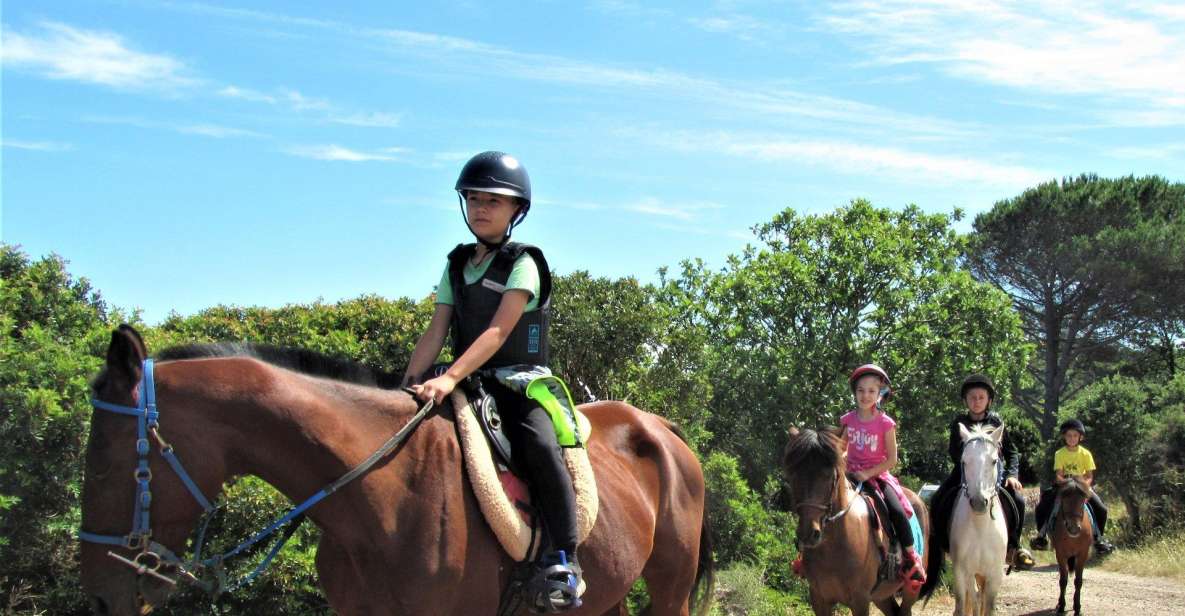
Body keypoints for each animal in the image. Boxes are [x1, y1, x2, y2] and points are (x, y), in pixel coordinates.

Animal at [782, 428, 938, 616]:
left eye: (830, 475)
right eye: (793, 475)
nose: (808, 534)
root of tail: (920, 501)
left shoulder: (860, 600)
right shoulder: (819, 599)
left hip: (910, 589)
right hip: (881, 595)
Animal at [947, 424, 1004, 616]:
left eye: (994, 461)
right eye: (964, 461)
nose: (979, 502)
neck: (980, 528)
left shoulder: (994, 574)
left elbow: (988, 607)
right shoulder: (961, 571)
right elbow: (963, 604)